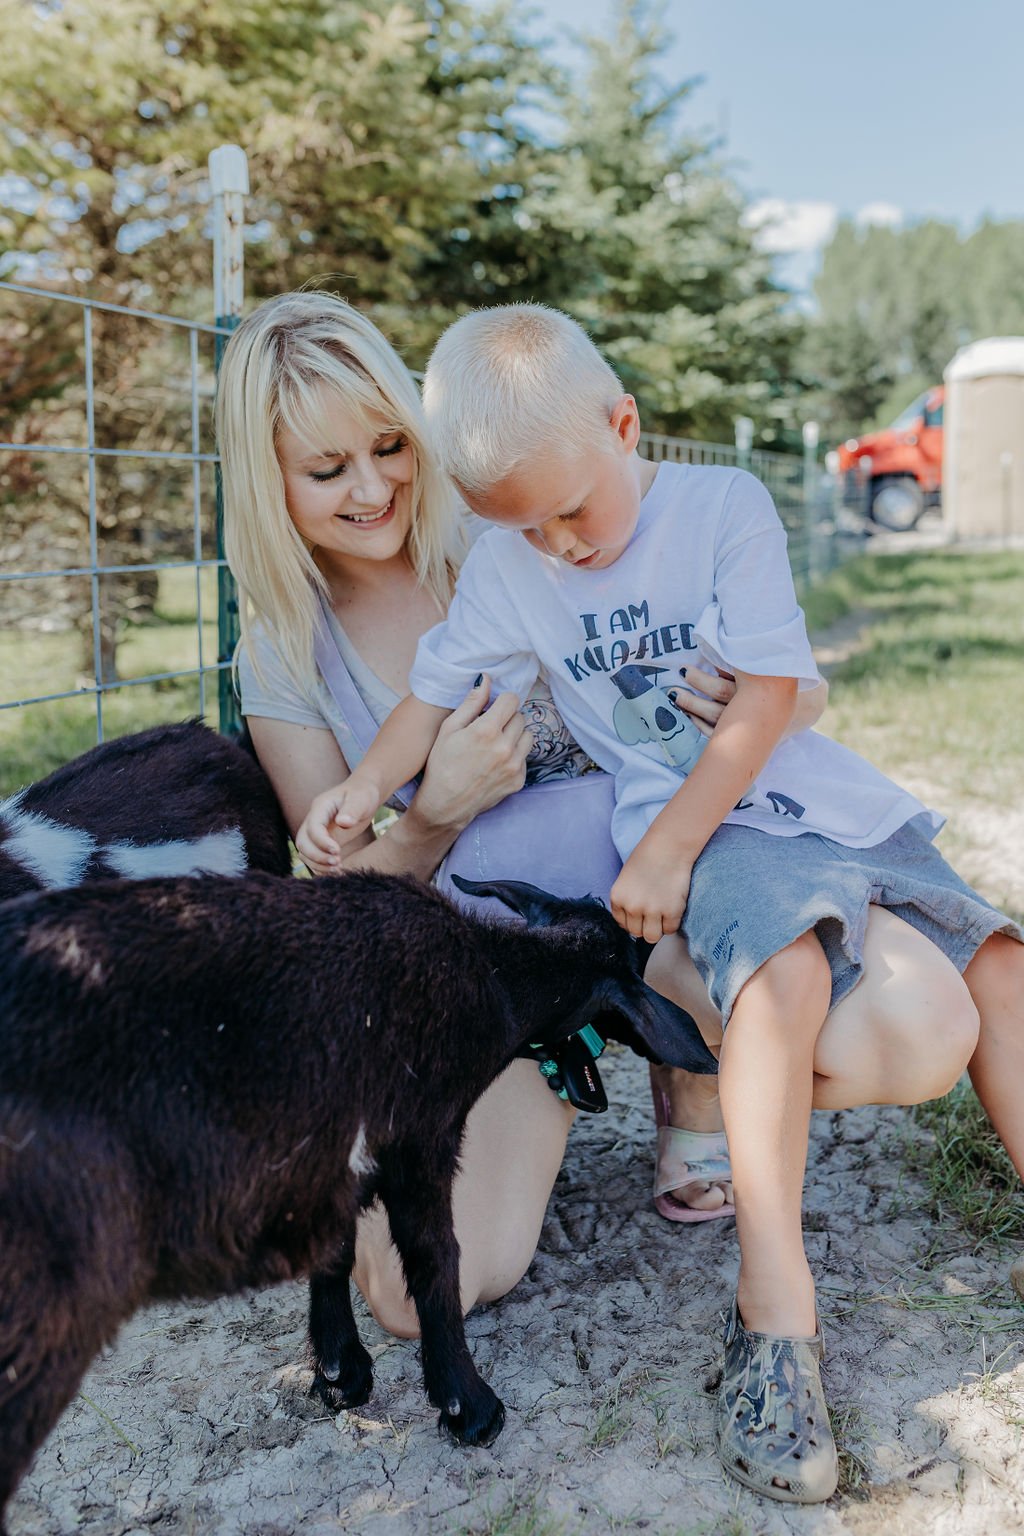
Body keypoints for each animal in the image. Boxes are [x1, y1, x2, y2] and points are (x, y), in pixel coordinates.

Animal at [0, 872, 712, 1529]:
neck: (495, 980)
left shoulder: (340, 1148)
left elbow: (336, 1251)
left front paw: (340, 1369)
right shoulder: (421, 1136)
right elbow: (435, 1259)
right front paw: (467, 1404)